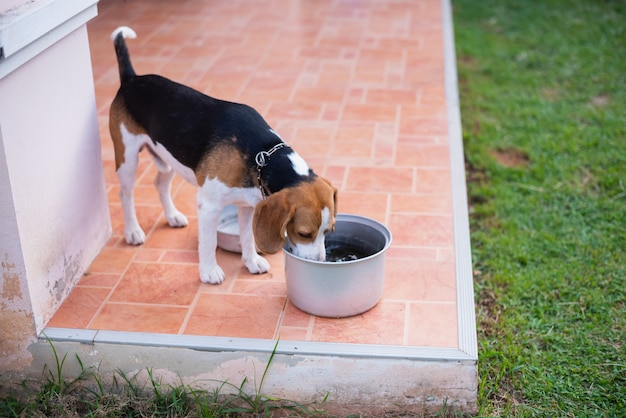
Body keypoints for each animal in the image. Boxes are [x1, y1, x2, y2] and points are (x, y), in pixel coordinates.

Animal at [107, 27, 336, 284]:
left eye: (329, 231)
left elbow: (247, 236)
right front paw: (209, 271)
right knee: (125, 193)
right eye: (304, 233)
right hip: (127, 157)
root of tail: (131, 79)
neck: (261, 155)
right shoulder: (208, 205)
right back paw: (133, 231)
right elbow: (209, 242)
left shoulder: (248, 205)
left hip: (167, 158)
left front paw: (251, 261)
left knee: (160, 183)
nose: (320, 263)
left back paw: (173, 216)